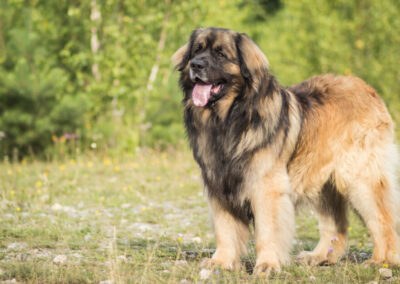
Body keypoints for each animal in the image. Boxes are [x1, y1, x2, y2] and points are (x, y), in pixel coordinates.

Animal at [173, 27, 400, 274]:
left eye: (220, 54)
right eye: (197, 50)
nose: (196, 65)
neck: (228, 119)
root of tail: (368, 89)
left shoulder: (266, 187)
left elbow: (266, 230)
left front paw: (267, 265)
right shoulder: (219, 185)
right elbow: (225, 229)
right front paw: (221, 262)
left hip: (359, 178)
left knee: (382, 219)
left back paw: (382, 260)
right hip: (322, 181)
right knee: (335, 224)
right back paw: (319, 257)